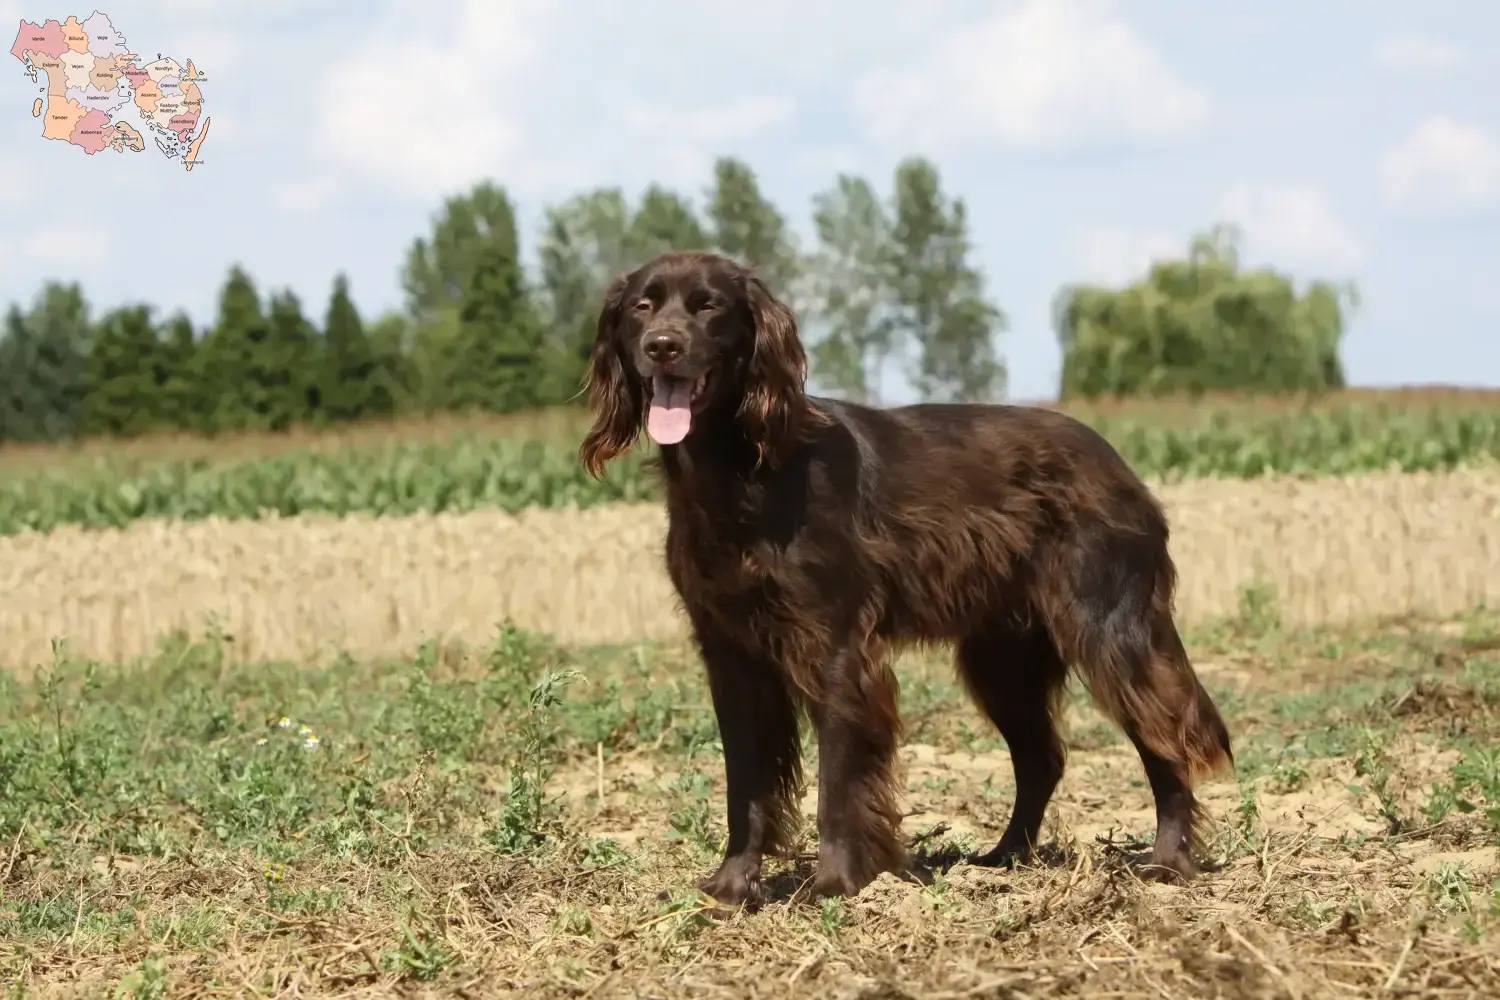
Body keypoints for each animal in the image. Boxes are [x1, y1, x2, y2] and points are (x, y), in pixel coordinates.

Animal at [573, 248, 1230, 905]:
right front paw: (732, 887)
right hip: (1003, 657)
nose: (663, 346)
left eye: (708, 306)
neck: (741, 470)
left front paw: (836, 883)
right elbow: (746, 781)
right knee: (1042, 758)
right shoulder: (730, 653)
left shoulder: (836, 646)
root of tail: (1122, 467)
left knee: (1169, 735)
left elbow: (838, 779)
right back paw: (1002, 859)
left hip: (1110, 632)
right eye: (642, 306)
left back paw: (1167, 862)